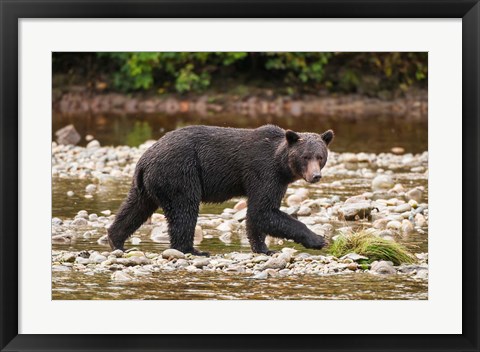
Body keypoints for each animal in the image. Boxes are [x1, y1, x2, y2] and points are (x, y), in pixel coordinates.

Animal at [109, 125, 334, 254]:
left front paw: (263, 248)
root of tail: (144, 160)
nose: (315, 176)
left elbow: (258, 214)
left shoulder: (273, 181)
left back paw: (116, 240)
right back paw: (192, 250)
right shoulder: (264, 172)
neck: (281, 165)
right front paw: (318, 239)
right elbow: (263, 211)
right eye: (305, 156)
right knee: (184, 210)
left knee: (135, 208)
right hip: (179, 173)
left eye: (320, 156)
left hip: (147, 184)